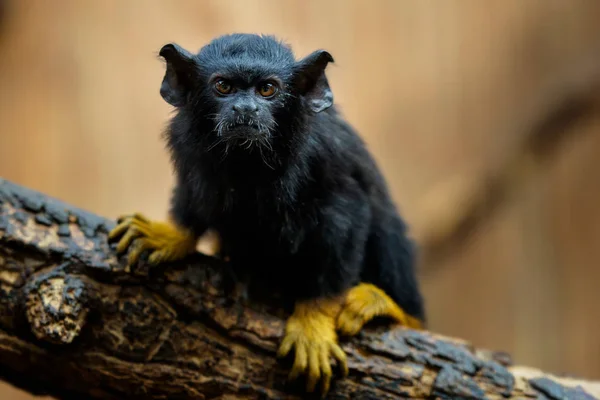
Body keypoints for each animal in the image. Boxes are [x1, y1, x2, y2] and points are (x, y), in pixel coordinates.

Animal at [109, 33, 426, 396]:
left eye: (267, 90)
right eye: (223, 86)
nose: (246, 109)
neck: (250, 160)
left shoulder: (324, 158)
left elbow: (347, 220)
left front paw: (313, 323)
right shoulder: (189, 149)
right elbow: (195, 196)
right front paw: (170, 235)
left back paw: (390, 308)